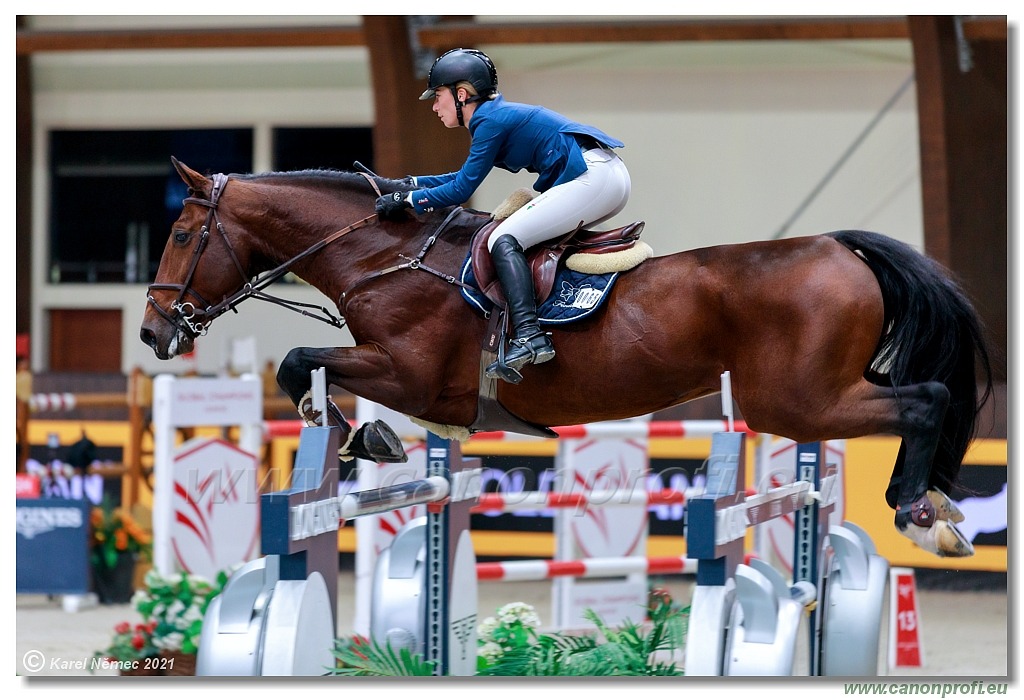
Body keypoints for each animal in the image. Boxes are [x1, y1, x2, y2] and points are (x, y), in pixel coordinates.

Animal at [142, 158, 991, 556]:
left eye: (181, 234)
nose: (154, 334)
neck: (382, 257)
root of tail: (836, 246)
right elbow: (309, 366)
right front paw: (361, 437)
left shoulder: (410, 374)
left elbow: (298, 361)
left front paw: (360, 434)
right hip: (815, 393)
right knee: (928, 399)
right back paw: (940, 507)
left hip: (796, 400)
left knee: (928, 400)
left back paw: (921, 512)